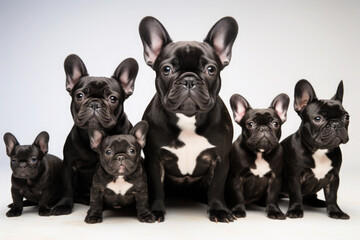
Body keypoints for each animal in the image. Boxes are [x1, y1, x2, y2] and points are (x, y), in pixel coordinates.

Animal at [51, 54, 139, 216]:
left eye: (113, 99)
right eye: (79, 95)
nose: (94, 103)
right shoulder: (69, 165)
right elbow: (67, 188)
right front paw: (64, 205)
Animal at [139, 16, 238, 223]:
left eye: (211, 69)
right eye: (166, 69)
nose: (189, 80)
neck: (188, 119)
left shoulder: (221, 159)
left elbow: (217, 187)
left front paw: (219, 210)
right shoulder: (154, 160)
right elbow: (157, 188)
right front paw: (156, 210)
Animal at [282, 79, 350, 218]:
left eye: (346, 117)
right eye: (318, 119)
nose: (336, 124)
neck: (320, 150)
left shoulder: (334, 177)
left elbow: (332, 196)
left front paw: (336, 211)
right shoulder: (295, 177)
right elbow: (296, 195)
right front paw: (295, 210)